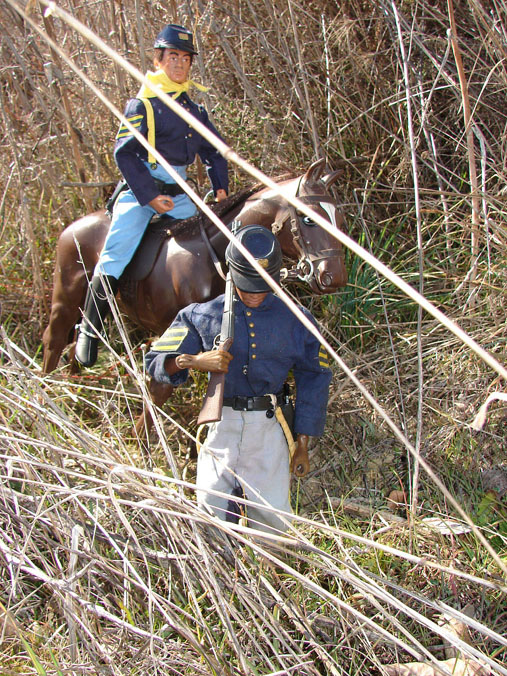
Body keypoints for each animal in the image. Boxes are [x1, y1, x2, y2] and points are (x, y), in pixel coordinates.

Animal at [42, 158, 350, 422]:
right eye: (308, 219)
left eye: (339, 218)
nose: (334, 277)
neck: (213, 255)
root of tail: (70, 228)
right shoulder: (174, 334)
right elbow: (162, 385)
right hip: (66, 299)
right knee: (54, 339)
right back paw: (48, 394)